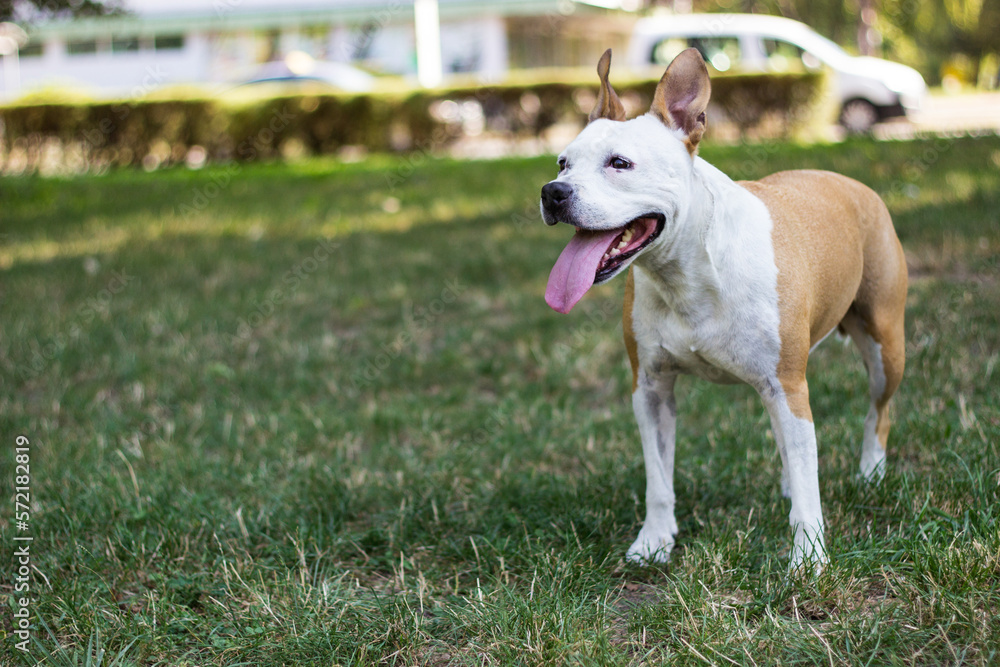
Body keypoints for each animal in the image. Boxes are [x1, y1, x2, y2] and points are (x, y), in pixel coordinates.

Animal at [540, 48, 908, 568]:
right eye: (563, 162)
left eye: (620, 163)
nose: (553, 191)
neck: (686, 273)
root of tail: (852, 184)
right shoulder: (650, 389)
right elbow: (658, 478)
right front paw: (654, 541)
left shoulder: (786, 383)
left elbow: (808, 479)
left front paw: (808, 558)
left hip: (883, 346)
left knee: (879, 410)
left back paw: (871, 473)